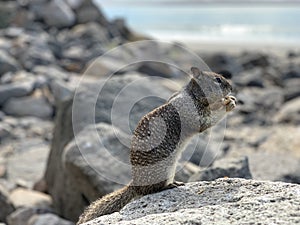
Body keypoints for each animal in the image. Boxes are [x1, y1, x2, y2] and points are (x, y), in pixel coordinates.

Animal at [77, 66, 237, 223]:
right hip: (163, 170)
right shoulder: (192, 113)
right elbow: (207, 122)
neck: (193, 95)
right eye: (218, 79)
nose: (231, 87)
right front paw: (228, 104)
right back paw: (170, 185)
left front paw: (230, 99)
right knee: (152, 190)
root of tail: (136, 185)